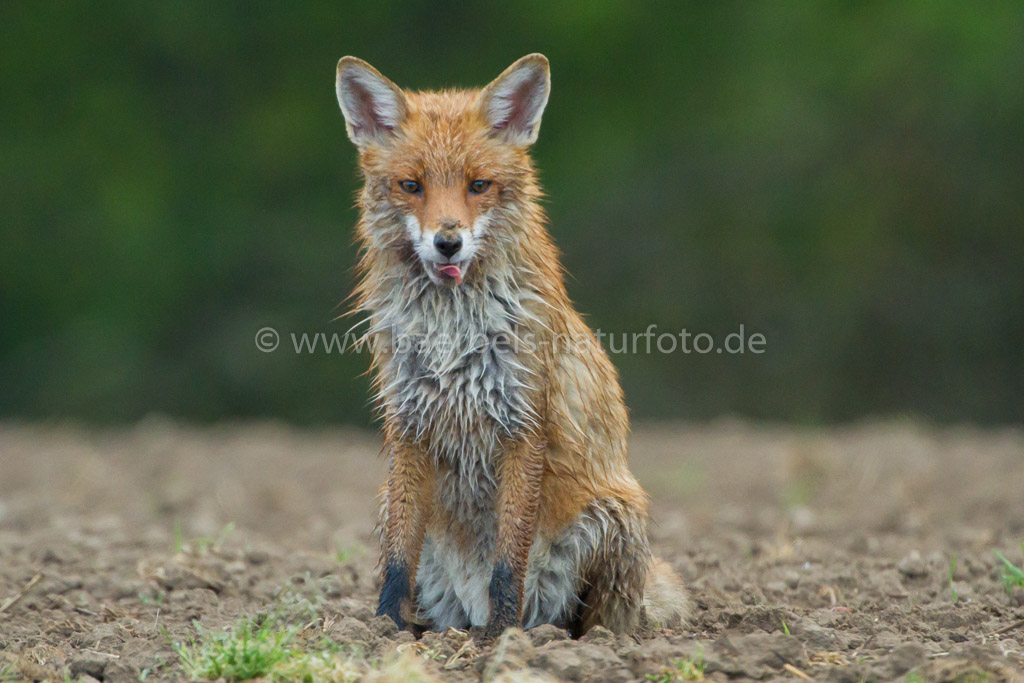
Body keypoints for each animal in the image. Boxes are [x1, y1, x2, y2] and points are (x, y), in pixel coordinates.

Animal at [333, 53, 688, 643]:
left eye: (479, 185)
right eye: (411, 185)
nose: (447, 242)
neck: (452, 333)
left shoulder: (524, 424)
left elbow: (508, 560)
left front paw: (502, 639)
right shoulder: (408, 425)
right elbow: (398, 561)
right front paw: (384, 629)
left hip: (616, 515)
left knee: (587, 617)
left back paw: (553, 637)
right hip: (387, 504)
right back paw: (436, 630)